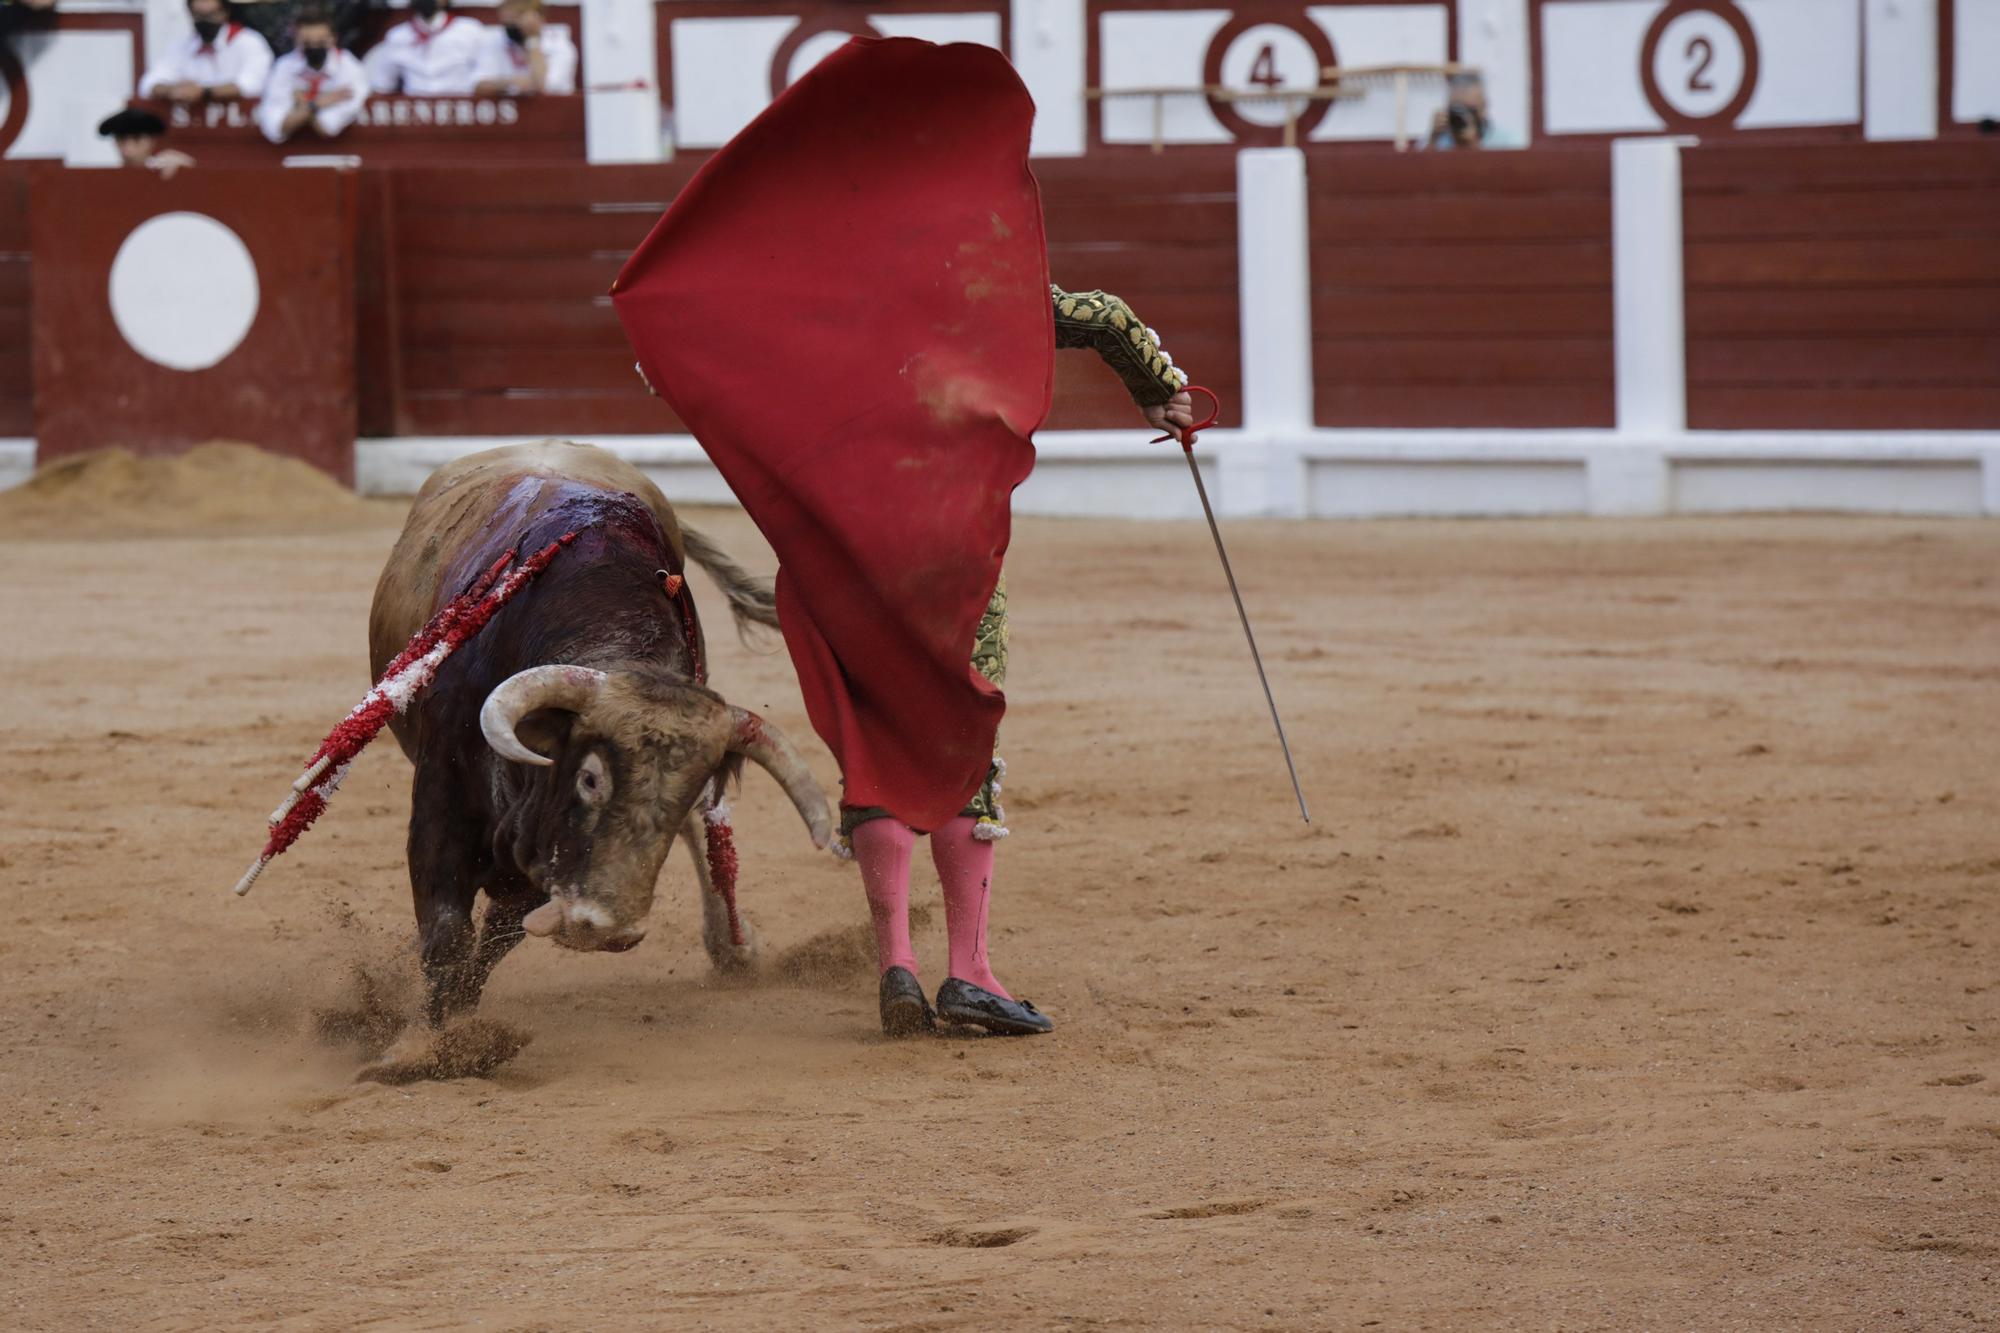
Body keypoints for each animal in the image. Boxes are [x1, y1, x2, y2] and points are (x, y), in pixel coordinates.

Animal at [366, 436, 828, 1016]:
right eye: (588, 779)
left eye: (685, 793)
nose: (607, 929)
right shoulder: (441, 806)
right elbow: (447, 934)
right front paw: (434, 1035)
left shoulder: (541, 853)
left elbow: (496, 938)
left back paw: (732, 947)